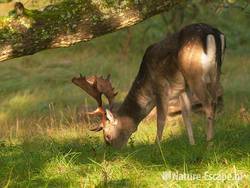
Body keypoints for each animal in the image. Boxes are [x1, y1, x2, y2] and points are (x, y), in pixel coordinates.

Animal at [71, 23, 226, 148]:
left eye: (107, 136)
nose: (112, 151)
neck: (147, 83)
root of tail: (213, 34)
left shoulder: (161, 87)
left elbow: (161, 119)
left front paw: (157, 147)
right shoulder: (183, 88)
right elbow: (186, 114)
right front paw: (192, 145)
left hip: (194, 74)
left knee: (209, 104)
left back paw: (209, 143)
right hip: (215, 73)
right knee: (215, 101)